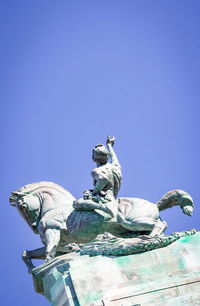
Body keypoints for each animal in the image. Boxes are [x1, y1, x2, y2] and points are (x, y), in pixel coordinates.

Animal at [9, 180, 194, 272]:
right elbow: (27, 253)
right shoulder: (61, 244)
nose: (34, 226)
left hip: (130, 220)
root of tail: (154, 205)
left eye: (23, 206)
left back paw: (149, 239)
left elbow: (48, 251)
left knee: (161, 224)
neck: (55, 207)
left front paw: (47, 263)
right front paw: (33, 268)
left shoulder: (52, 231)